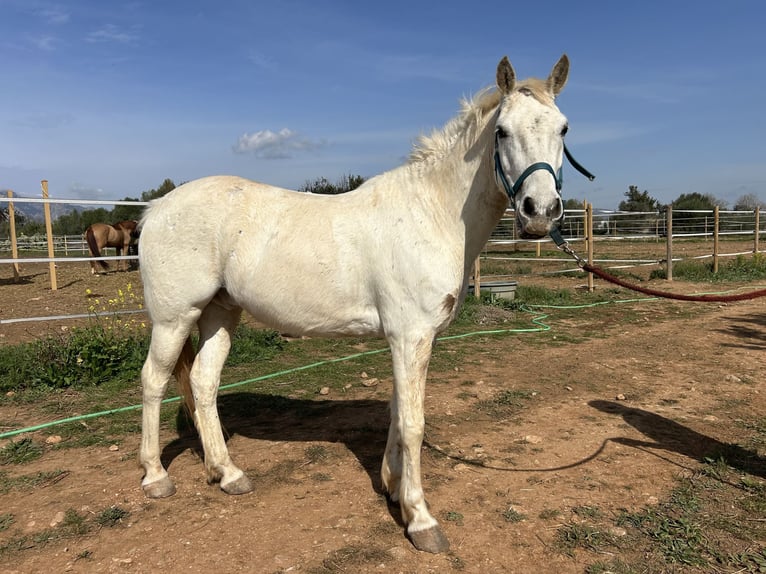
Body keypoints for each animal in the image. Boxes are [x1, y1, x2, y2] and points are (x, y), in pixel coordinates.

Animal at [141, 56, 576, 556]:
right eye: (502, 131)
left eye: (563, 128)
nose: (539, 211)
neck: (433, 212)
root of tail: (154, 210)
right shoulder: (410, 336)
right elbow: (413, 422)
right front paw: (420, 519)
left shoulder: (408, 339)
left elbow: (396, 412)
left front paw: (392, 486)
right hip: (174, 318)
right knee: (154, 381)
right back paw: (155, 477)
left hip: (219, 313)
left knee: (203, 382)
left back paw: (227, 473)